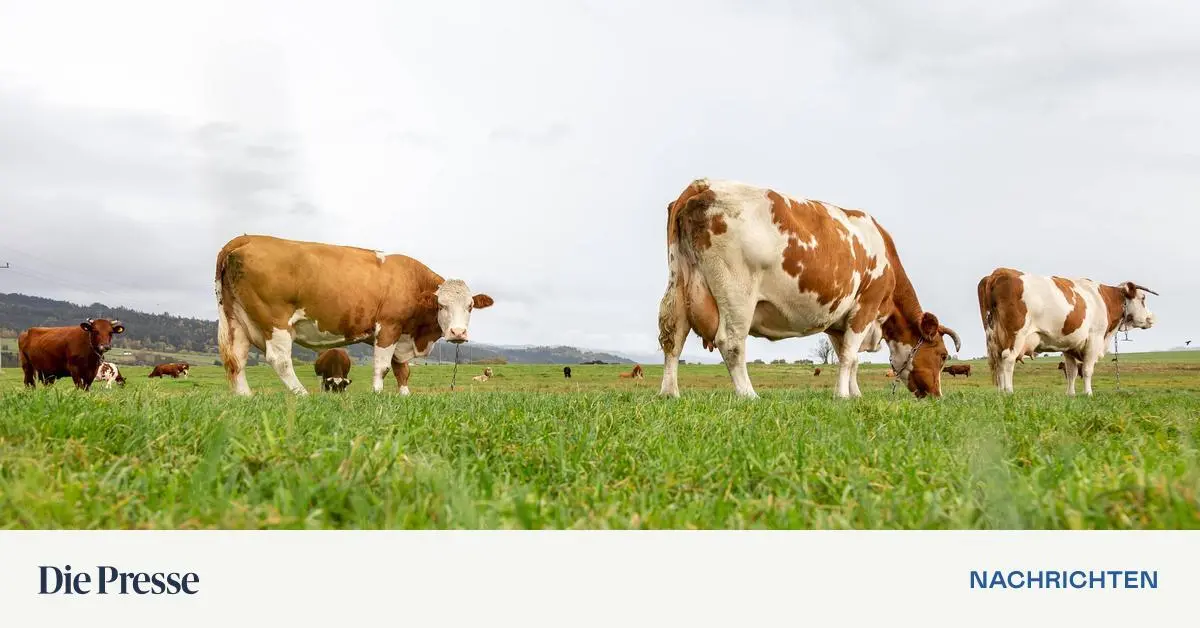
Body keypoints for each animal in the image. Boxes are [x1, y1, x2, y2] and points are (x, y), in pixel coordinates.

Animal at [216, 232, 492, 396]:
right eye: (441, 305)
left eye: (470, 306)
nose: (458, 333)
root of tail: (248, 238)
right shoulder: (388, 327)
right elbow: (383, 367)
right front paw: (378, 394)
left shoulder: (401, 335)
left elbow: (402, 370)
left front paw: (404, 396)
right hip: (274, 320)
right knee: (280, 360)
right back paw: (302, 395)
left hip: (236, 319)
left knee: (237, 360)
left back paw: (245, 397)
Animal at [657, 178, 955, 401]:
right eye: (942, 355)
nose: (936, 395)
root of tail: (704, 184)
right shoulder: (866, 307)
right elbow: (849, 356)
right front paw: (842, 396)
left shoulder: (838, 322)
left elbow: (850, 359)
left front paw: (854, 394)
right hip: (737, 292)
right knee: (731, 343)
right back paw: (749, 395)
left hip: (679, 282)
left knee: (674, 337)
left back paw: (670, 393)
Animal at [974, 267, 1161, 396]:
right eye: (1143, 298)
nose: (1152, 318)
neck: (1103, 299)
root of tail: (999, 272)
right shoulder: (1094, 339)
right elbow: (1087, 370)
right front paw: (1088, 393)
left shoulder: (1070, 346)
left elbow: (1071, 372)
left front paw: (1070, 394)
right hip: (1016, 335)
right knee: (1008, 359)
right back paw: (1009, 391)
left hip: (995, 337)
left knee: (998, 361)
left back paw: (1000, 392)